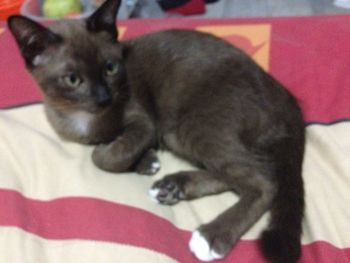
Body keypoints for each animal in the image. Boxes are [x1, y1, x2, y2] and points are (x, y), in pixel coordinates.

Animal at [6, 1, 304, 262]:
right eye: (72, 79)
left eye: (111, 68)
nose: (104, 98)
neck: (82, 118)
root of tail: (284, 95)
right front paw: (146, 160)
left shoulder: (143, 119)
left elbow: (107, 156)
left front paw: (116, 151)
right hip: (180, 134)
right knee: (241, 172)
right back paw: (173, 186)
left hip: (190, 126)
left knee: (263, 179)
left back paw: (210, 236)